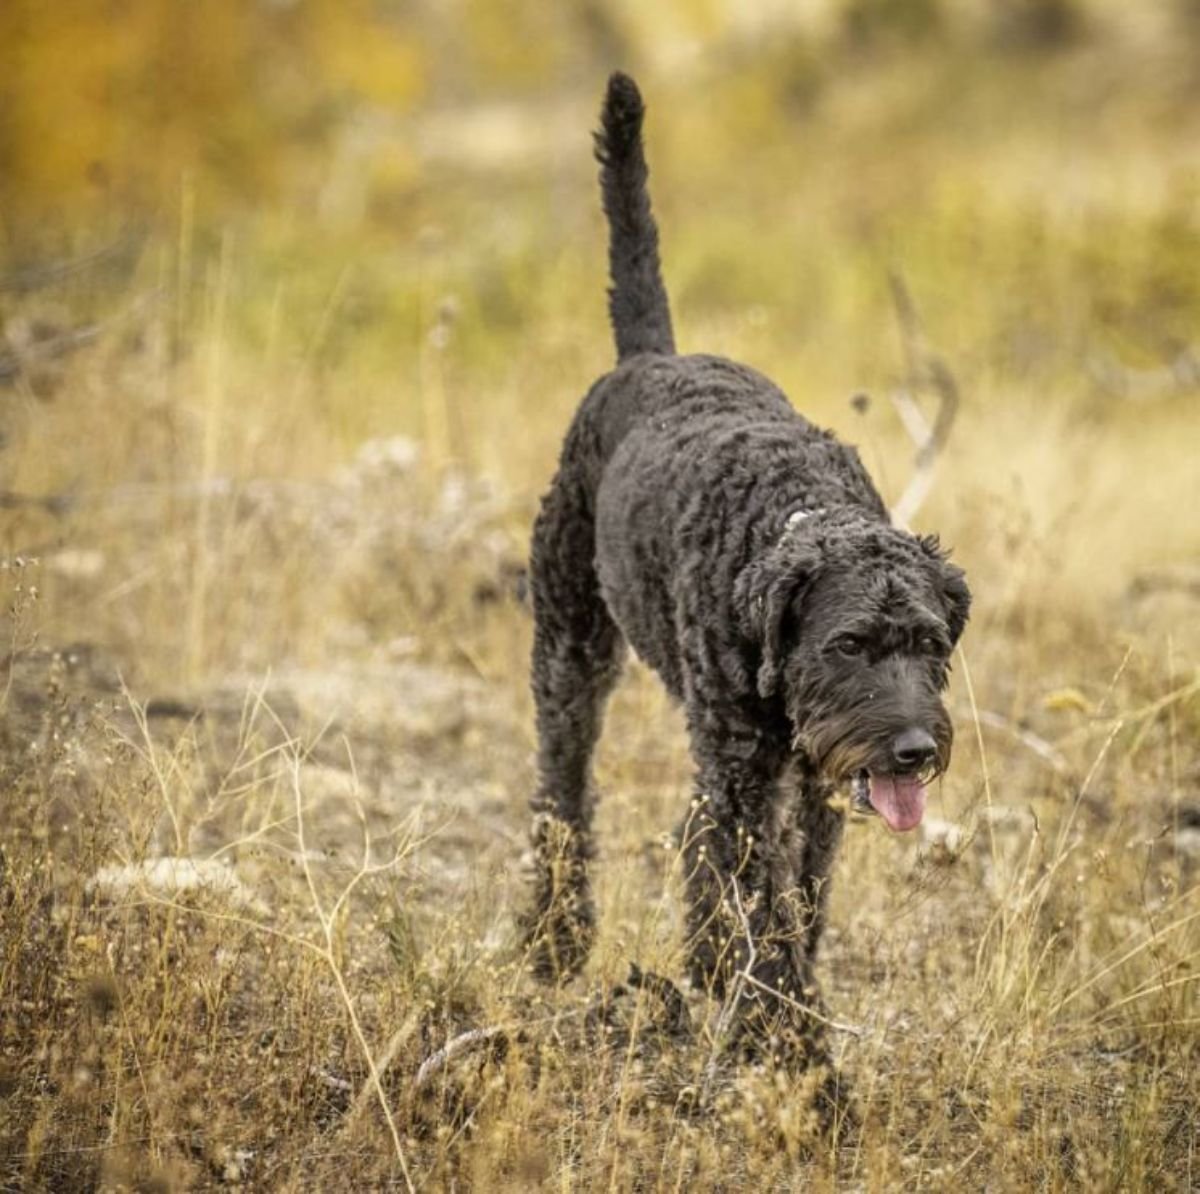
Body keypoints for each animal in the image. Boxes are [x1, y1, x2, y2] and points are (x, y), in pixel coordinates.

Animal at [523, 69, 964, 1070]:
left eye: (930, 643)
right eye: (848, 644)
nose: (914, 752)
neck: (794, 515)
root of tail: (650, 354)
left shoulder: (816, 787)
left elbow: (795, 902)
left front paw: (778, 1012)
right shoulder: (744, 777)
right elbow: (756, 908)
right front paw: (793, 1049)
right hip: (570, 646)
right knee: (562, 794)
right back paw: (553, 939)